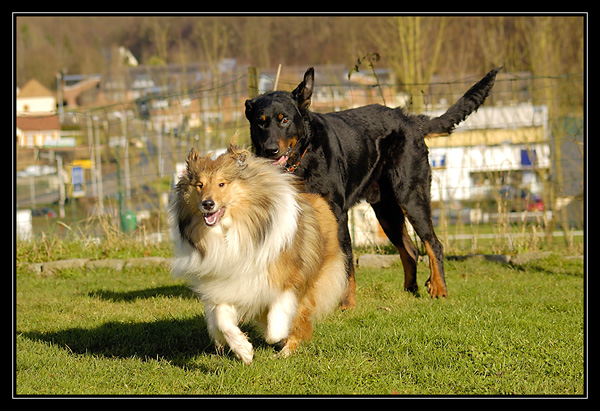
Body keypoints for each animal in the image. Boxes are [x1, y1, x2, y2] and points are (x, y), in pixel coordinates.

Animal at [245, 67, 502, 306]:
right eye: (261, 122)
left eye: (284, 119)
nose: (270, 149)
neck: (300, 161)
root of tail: (410, 120)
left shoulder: (337, 215)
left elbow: (346, 262)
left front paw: (347, 304)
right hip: (386, 211)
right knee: (410, 250)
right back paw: (410, 291)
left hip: (411, 197)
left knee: (433, 244)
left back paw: (439, 289)